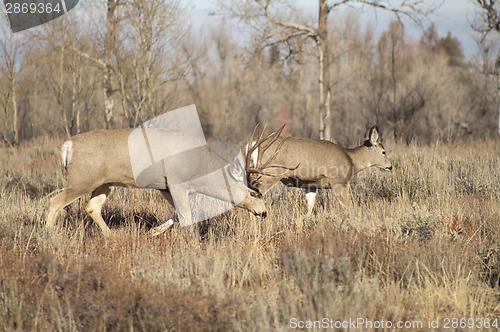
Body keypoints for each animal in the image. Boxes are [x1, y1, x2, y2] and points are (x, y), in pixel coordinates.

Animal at [47, 126, 290, 236]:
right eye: (254, 193)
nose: (263, 212)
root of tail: (68, 145)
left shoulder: (165, 187)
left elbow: (179, 213)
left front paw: (153, 232)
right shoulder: (177, 183)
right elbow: (188, 215)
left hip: (104, 183)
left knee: (92, 208)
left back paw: (113, 237)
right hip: (82, 179)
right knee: (55, 202)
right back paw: (49, 237)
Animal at [245, 124, 390, 213]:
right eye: (383, 152)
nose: (390, 166)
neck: (350, 159)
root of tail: (251, 144)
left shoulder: (311, 186)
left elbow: (309, 209)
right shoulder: (338, 182)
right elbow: (350, 207)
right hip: (268, 175)